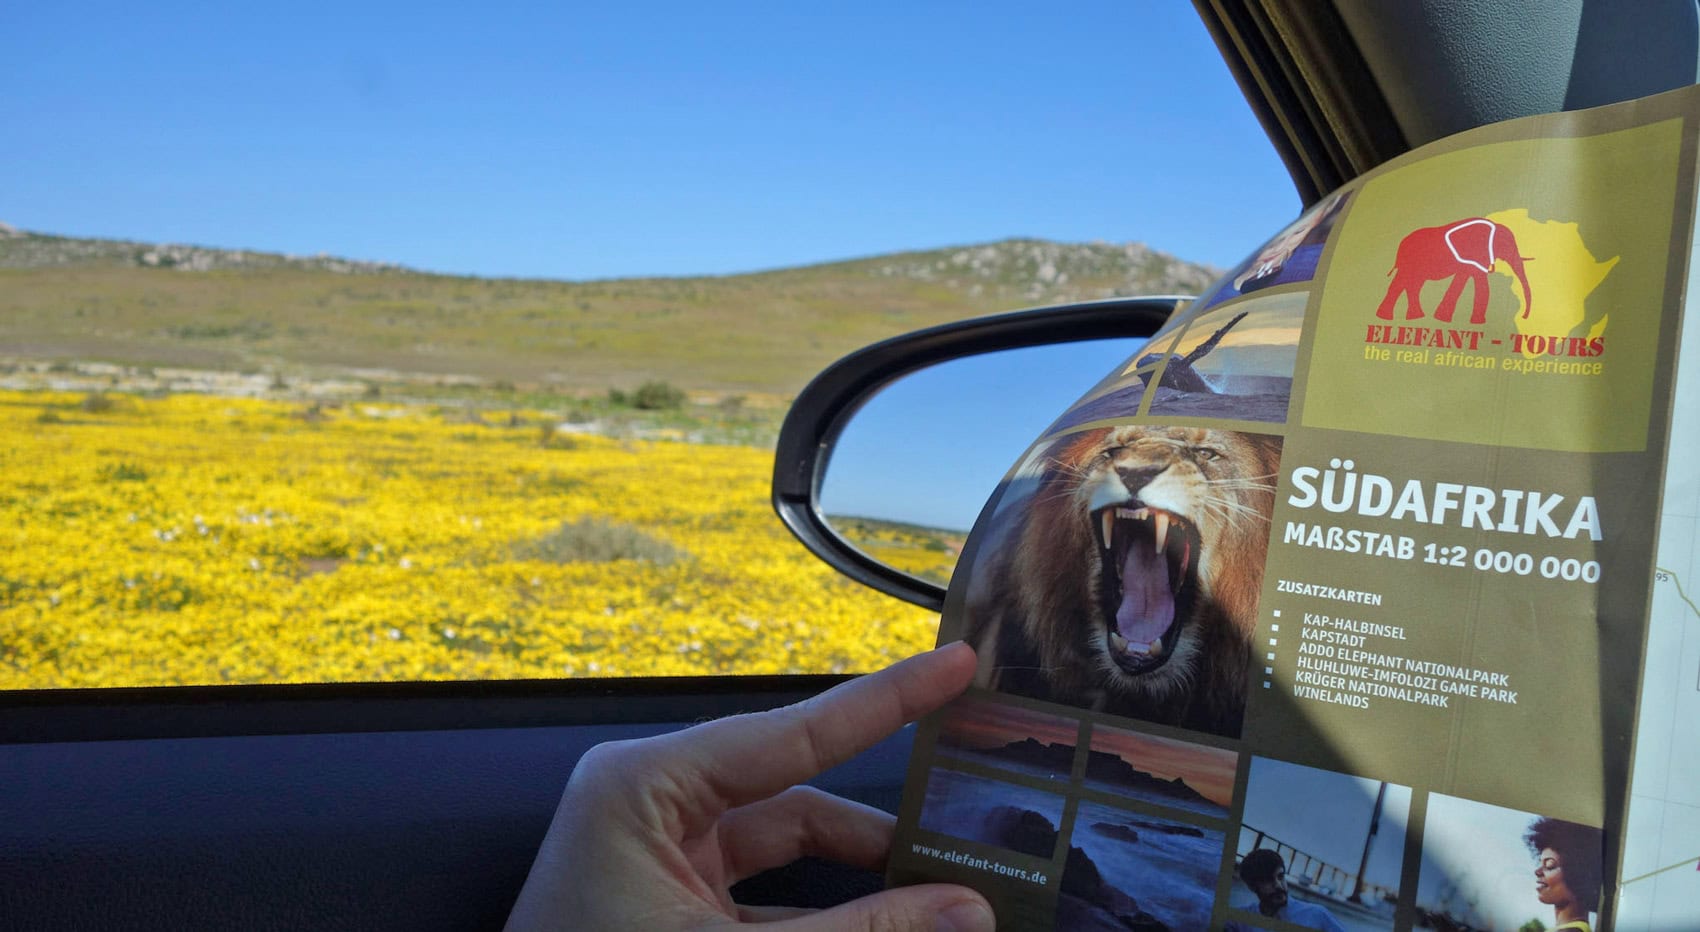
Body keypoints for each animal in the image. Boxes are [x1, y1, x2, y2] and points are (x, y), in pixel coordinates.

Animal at [1375, 217, 1533, 324]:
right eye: (1505, 244)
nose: (1523, 316)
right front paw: (1444, 319)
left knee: (1411, 285)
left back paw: (1410, 317)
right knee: (1403, 283)